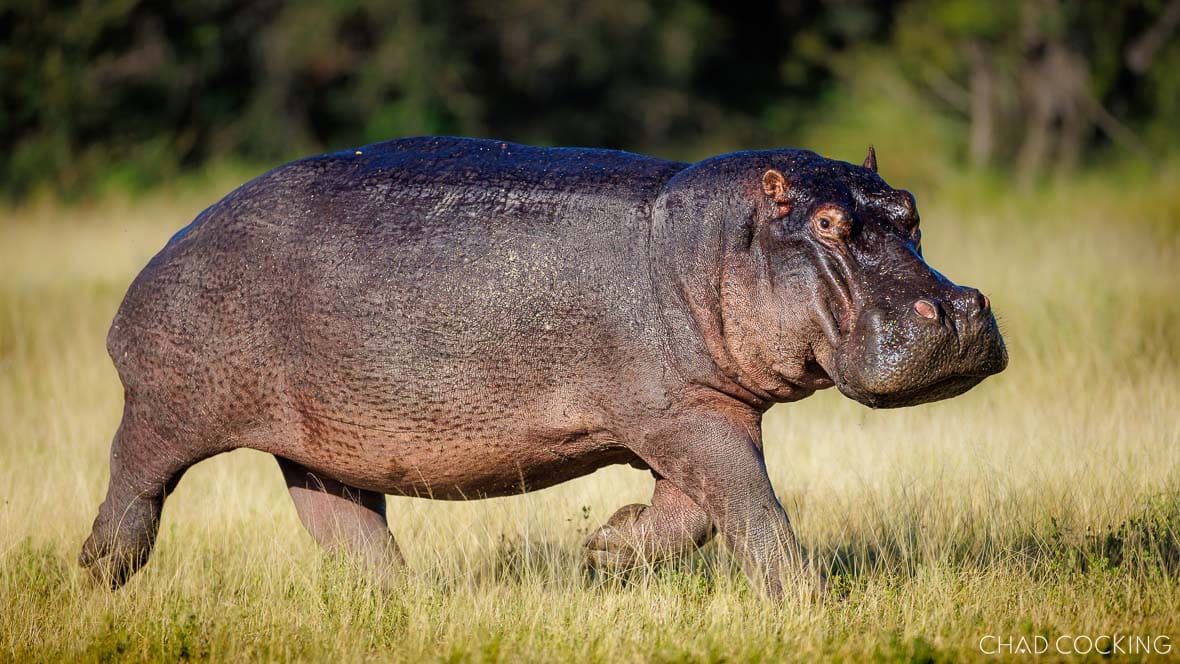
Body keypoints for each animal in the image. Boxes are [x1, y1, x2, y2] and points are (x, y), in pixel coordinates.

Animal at [80, 137, 1007, 597]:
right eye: (825, 226)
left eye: (910, 210)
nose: (960, 307)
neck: (711, 244)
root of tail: (162, 253)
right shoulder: (682, 412)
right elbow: (751, 507)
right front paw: (804, 602)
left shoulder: (703, 411)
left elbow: (698, 514)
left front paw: (604, 550)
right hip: (168, 407)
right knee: (136, 481)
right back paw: (98, 573)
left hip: (319, 442)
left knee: (345, 526)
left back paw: (407, 607)